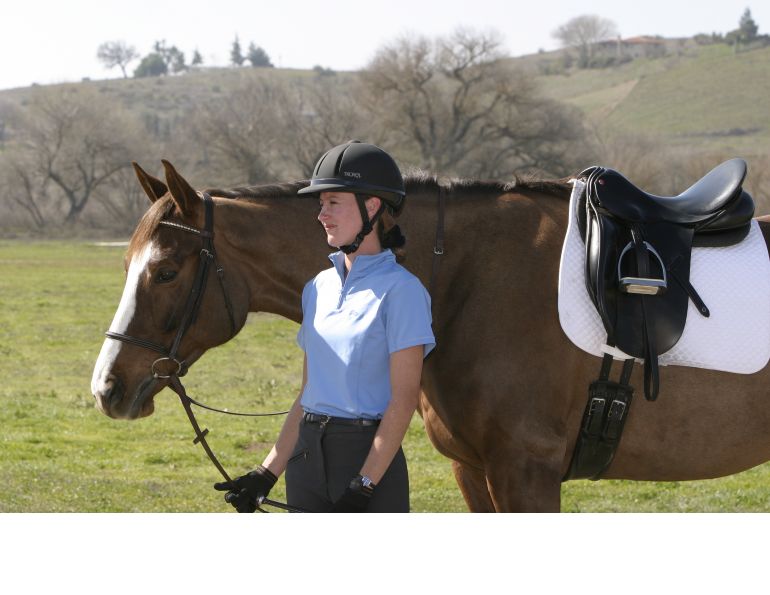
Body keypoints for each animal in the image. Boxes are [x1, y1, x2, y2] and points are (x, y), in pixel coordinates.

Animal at [91, 159, 770, 512]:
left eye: (166, 271)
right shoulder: (476, 473)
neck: (462, 280)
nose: (107, 387)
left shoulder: (526, 474)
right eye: (124, 264)